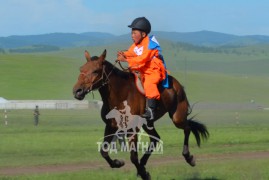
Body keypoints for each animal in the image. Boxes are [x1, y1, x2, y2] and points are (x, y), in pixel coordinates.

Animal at [72, 49, 208, 180]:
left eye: (95, 71)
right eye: (81, 69)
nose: (77, 91)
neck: (121, 95)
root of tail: (176, 84)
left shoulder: (132, 130)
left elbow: (133, 157)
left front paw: (144, 174)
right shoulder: (111, 126)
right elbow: (104, 151)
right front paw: (118, 163)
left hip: (177, 118)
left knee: (187, 128)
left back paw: (188, 157)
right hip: (148, 123)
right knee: (156, 138)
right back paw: (143, 163)